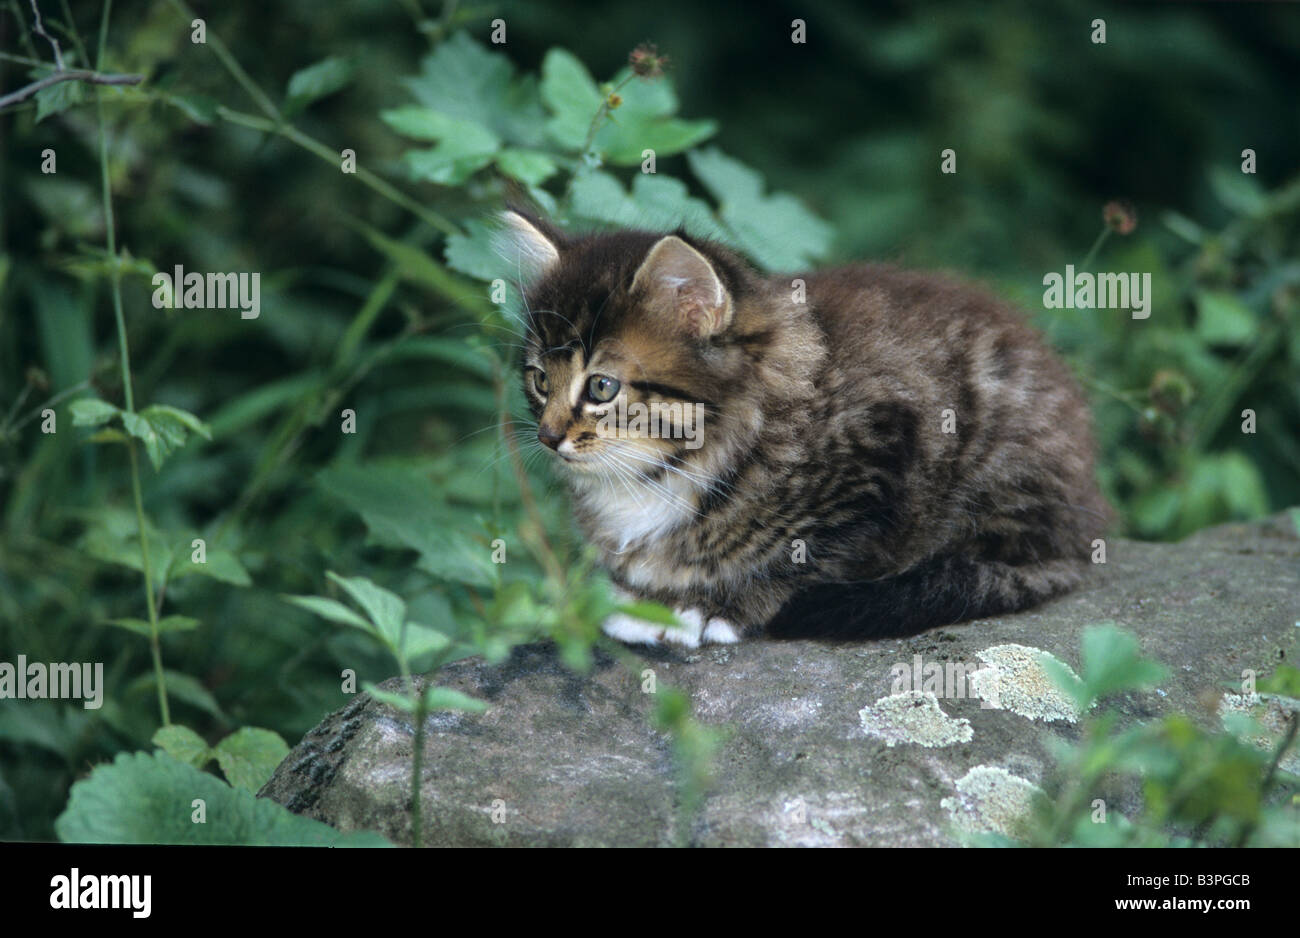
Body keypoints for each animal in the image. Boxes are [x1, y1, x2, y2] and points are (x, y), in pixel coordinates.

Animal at [501, 209, 1112, 644]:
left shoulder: (881, 462)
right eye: (539, 380)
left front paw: (715, 607)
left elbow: (805, 559)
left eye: (602, 387)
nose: (548, 437)